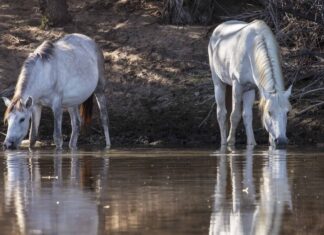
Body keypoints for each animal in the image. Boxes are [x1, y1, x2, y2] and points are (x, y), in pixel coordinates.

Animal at [209, 20, 292, 149]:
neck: (252, 51)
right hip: (218, 83)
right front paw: (231, 141)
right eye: (269, 112)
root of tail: (220, 27)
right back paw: (223, 143)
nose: (281, 141)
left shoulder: (250, 89)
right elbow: (235, 115)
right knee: (221, 114)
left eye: (287, 112)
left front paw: (252, 143)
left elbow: (247, 116)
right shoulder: (237, 85)